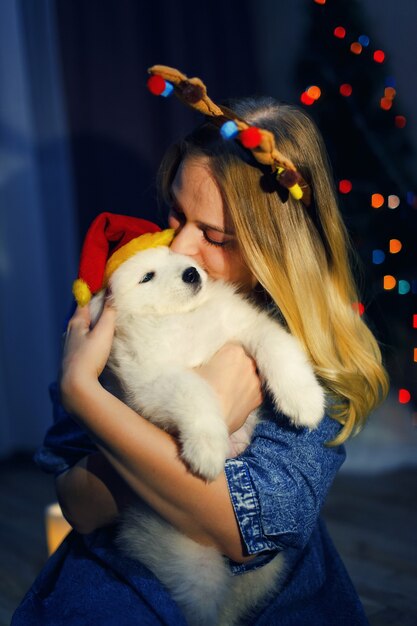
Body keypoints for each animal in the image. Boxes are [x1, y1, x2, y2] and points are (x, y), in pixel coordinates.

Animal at [90, 244, 324, 624]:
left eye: (174, 254)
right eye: (147, 276)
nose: (191, 273)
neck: (182, 320)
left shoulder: (248, 327)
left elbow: (278, 349)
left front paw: (304, 399)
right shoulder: (151, 384)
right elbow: (195, 390)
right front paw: (208, 448)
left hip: (264, 570)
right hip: (194, 567)